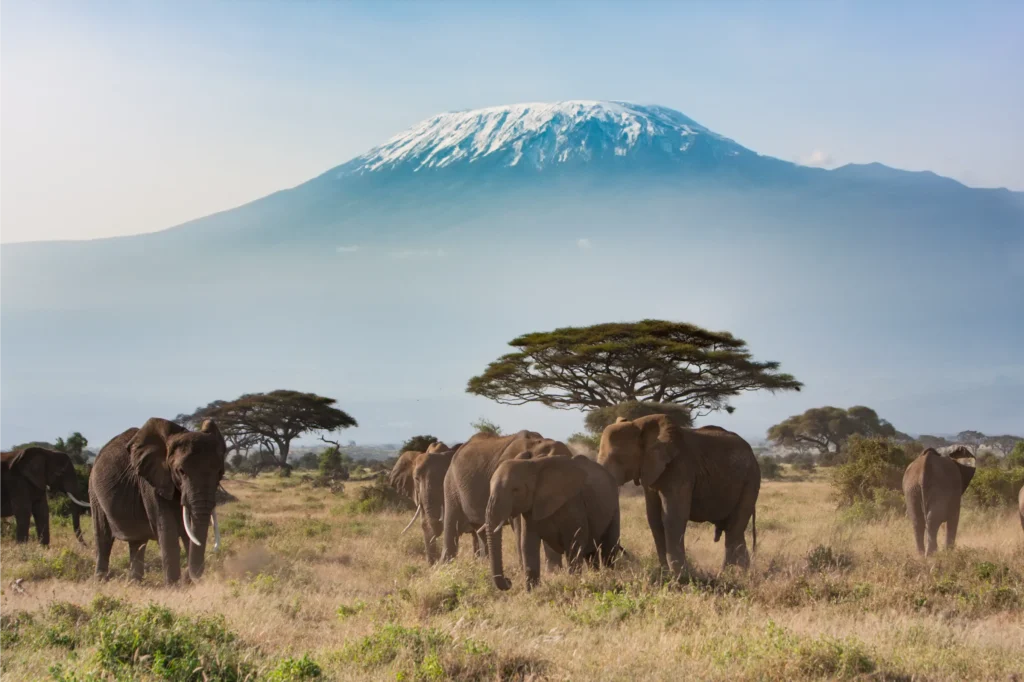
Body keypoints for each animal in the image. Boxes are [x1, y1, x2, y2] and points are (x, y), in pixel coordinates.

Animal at [90, 417, 226, 584]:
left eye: (220, 472)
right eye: (181, 471)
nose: (189, 576)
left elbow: (188, 532)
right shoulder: (151, 482)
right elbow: (167, 531)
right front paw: (174, 586)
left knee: (137, 541)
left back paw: (135, 583)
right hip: (94, 492)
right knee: (103, 537)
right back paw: (100, 581)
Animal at [441, 430, 573, 566]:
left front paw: (554, 570)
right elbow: (520, 527)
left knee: (480, 532)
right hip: (451, 485)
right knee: (452, 526)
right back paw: (445, 566)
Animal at [485, 453, 621, 590]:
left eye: (515, 490)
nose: (509, 581)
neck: (532, 465)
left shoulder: (573, 503)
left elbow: (574, 544)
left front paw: (574, 583)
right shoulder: (530, 509)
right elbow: (528, 544)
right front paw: (533, 592)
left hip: (614, 506)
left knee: (608, 550)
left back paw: (609, 576)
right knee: (591, 554)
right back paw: (597, 576)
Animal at [598, 415, 760, 576]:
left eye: (617, 458)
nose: (627, 556)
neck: (639, 424)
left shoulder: (679, 469)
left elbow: (673, 518)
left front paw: (680, 575)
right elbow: (654, 519)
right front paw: (665, 573)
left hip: (750, 481)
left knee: (734, 529)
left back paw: (732, 574)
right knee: (734, 530)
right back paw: (739, 572)